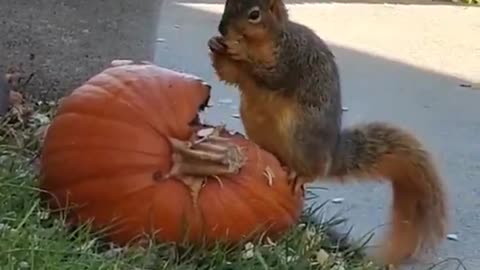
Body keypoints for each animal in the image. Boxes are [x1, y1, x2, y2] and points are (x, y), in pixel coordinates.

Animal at [207, 0, 450, 266]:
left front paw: (237, 50)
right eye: (228, 4)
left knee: (313, 171)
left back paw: (300, 175)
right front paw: (215, 45)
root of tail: (330, 156)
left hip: (302, 134)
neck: (270, 37)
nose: (222, 29)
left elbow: (272, 75)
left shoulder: (293, 58)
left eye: (254, 15)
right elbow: (230, 75)